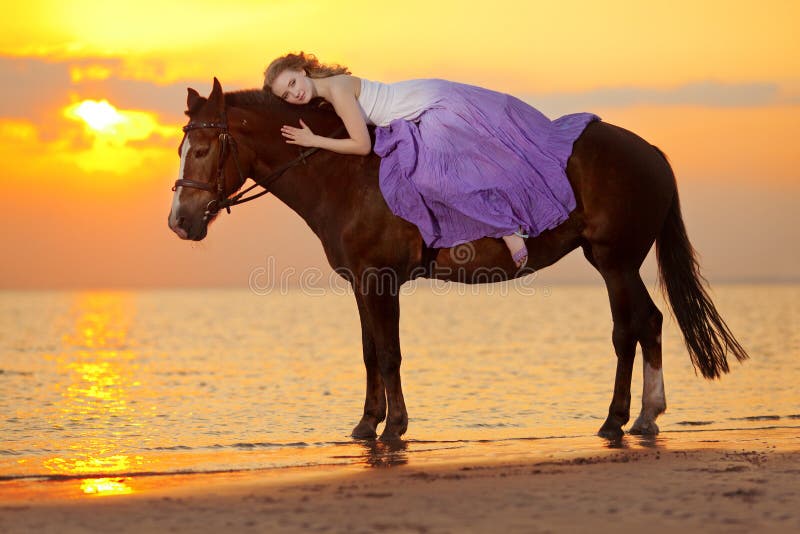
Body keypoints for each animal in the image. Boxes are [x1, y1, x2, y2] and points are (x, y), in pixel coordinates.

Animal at [169, 78, 752, 440]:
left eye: (202, 149)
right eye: (182, 147)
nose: (179, 221)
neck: (346, 173)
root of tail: (652, 153)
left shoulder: (381, 280)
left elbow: (389, 354)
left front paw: (395, 427)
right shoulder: (361, 283)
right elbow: (369, 354)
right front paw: (365, 426)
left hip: (615, 262)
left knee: (632, 328)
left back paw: (623, 418)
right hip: (616, 263)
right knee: (644, 324)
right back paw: (637, 418)